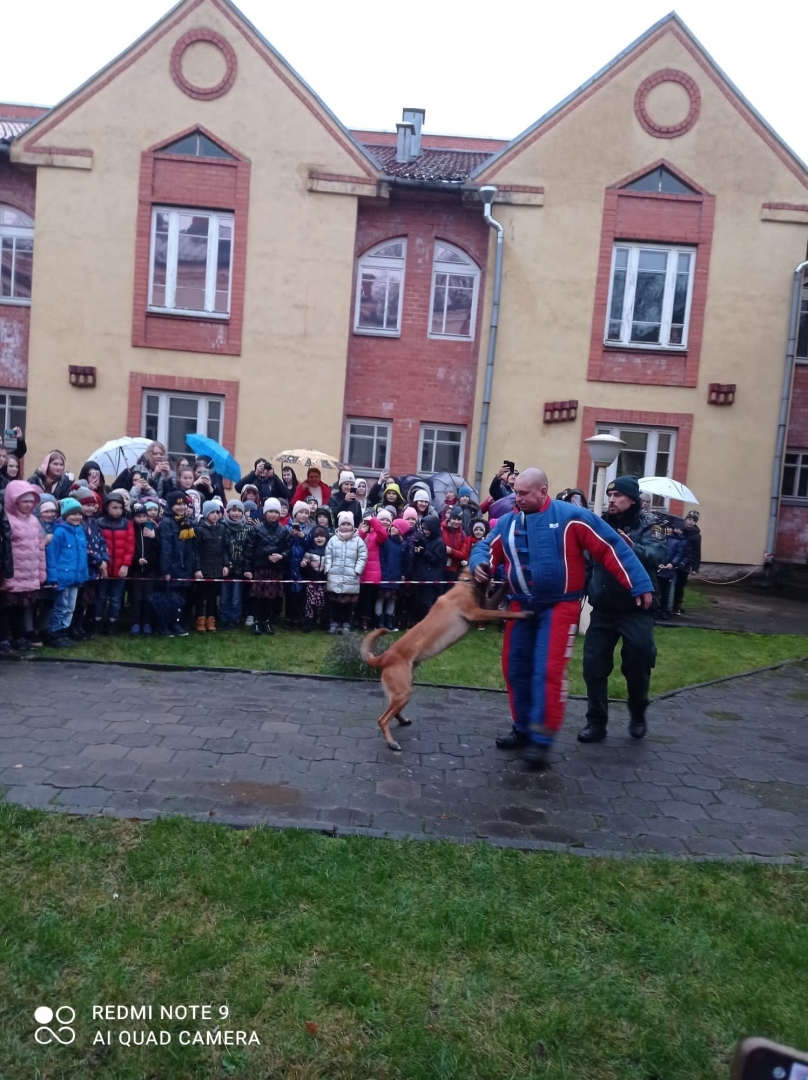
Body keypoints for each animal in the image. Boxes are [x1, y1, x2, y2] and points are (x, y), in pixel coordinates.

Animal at [360, 565, 529, 751]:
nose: (494, 567)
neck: (465, 583)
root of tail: (384, 657)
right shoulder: (477, 612)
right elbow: (505, 613)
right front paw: (525, 613)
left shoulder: (486, 605)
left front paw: (508, 581)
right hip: (403, 692)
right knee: (382, 720)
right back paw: (392, 743)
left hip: (402, 690)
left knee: (392, 712)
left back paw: (403, 721)